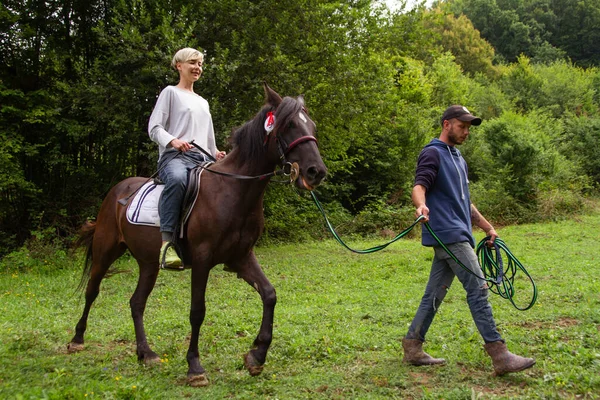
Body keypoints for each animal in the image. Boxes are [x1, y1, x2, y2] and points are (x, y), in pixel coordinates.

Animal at [69, 84, 328, 388]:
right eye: (289, 126)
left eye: (312, 125)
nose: (316, 172)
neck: (233, 191)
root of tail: (118, 190)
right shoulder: (203, 260)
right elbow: (197, 311)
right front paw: (194, 367)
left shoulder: (241, 258)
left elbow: (269, 295)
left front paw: (256, 356)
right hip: (105, 251)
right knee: (92, 290)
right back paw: (77, 340)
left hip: (148, 263)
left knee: (136, 303)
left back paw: (146, 354)